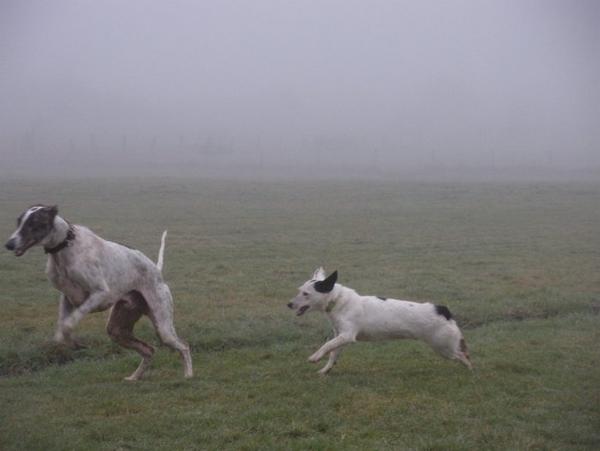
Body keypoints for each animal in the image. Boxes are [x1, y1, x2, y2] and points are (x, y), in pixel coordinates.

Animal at [4, 206, 192, 382]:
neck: (66, 245)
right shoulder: (66, 297)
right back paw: (134, 377)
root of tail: (157, 270)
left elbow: (69, 322)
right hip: (117, 329)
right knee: (149, 350)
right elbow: (62, 326)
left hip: (163, 326)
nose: (9, 244)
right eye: (19, 221)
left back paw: (188, 374)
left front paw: (73, 340)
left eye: (33, 223)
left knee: (183, 346)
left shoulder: (99, 294)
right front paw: (67, 340)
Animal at [288, 268, 472, 374]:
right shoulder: (340, 336)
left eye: (305, 294)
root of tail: (443, 310)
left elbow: (326, 346)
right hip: (442, 347)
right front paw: (325, 370)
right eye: (299, 290)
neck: (337, 301)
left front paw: (315, 357)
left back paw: (469, 369)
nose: (289, 304)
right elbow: (333, 353)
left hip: (442, 346)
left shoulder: (347, 335)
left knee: (462, 354)